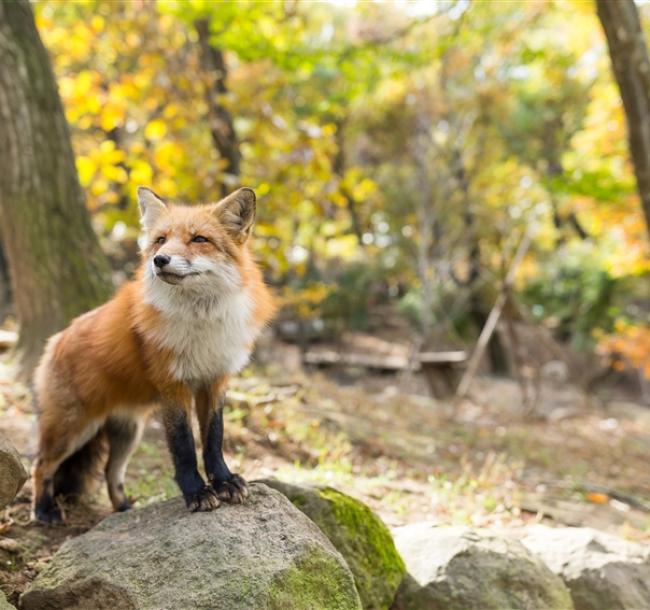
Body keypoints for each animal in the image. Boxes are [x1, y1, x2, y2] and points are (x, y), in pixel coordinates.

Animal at [31, 186, 274, 524]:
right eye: (160, 240)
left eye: (199, 239)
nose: (160, 260)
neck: (200, 322)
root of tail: (54, 340)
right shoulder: (173, 385)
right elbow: (184, 446)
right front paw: (196, 492)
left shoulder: (214, 381)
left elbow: (214, 439)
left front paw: (224, 482)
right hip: (72, 428)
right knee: (41, 465)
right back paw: (44, 509)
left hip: (128, 434)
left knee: (111, 472)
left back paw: (123, 511)